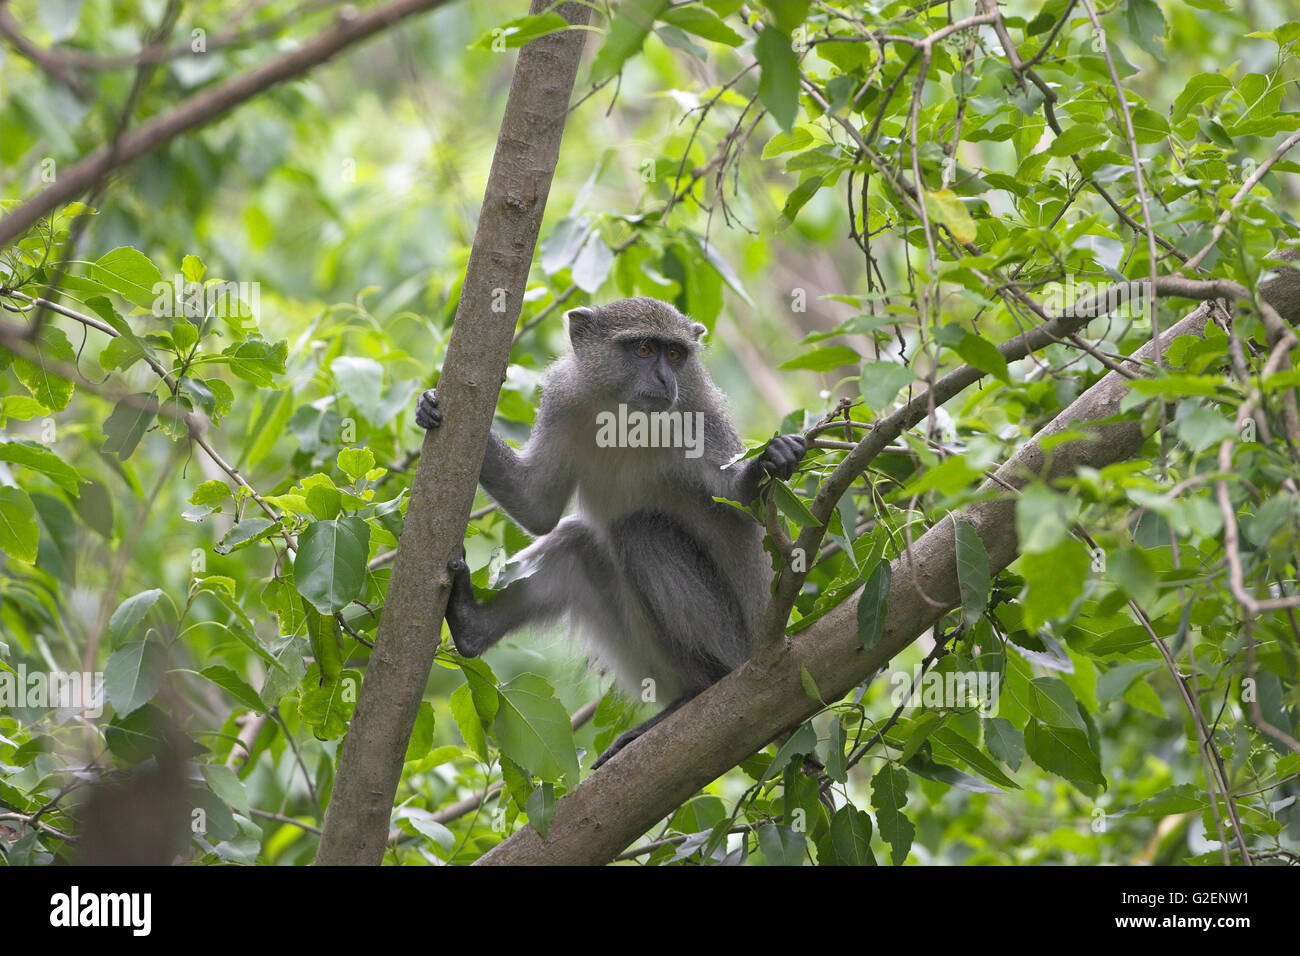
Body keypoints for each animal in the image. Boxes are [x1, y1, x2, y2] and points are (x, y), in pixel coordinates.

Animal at [416, 299, 800, 770]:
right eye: (643, 349)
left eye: (675, 354)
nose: (665, 379)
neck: (626, 416)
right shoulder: (564, 400)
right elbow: (538, 508)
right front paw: (430, 407)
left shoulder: (699, 418)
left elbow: (739, 500)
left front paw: (768, 463)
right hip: (642, 653)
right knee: (578, 544)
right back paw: (471, 625)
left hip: (732, 640)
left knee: (639, 531)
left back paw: (703, 687)